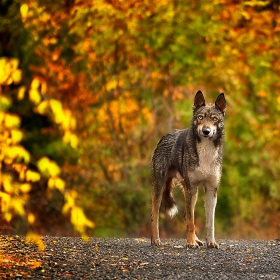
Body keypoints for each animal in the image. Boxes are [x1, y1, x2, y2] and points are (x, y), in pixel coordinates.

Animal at [151, 92, 225, 249]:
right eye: (200, 117)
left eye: (214, 119)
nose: (206, 131)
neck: (206, 152)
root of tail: (164, 136)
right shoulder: (191, 188)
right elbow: (191, 222)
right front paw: (190, 243)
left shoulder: (211, 190)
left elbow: (210, 223)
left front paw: (211, 242)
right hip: (161, 187)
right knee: (154, 214)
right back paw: (156, 240)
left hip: (192, 192)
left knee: (186, 214)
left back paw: (197, 240)